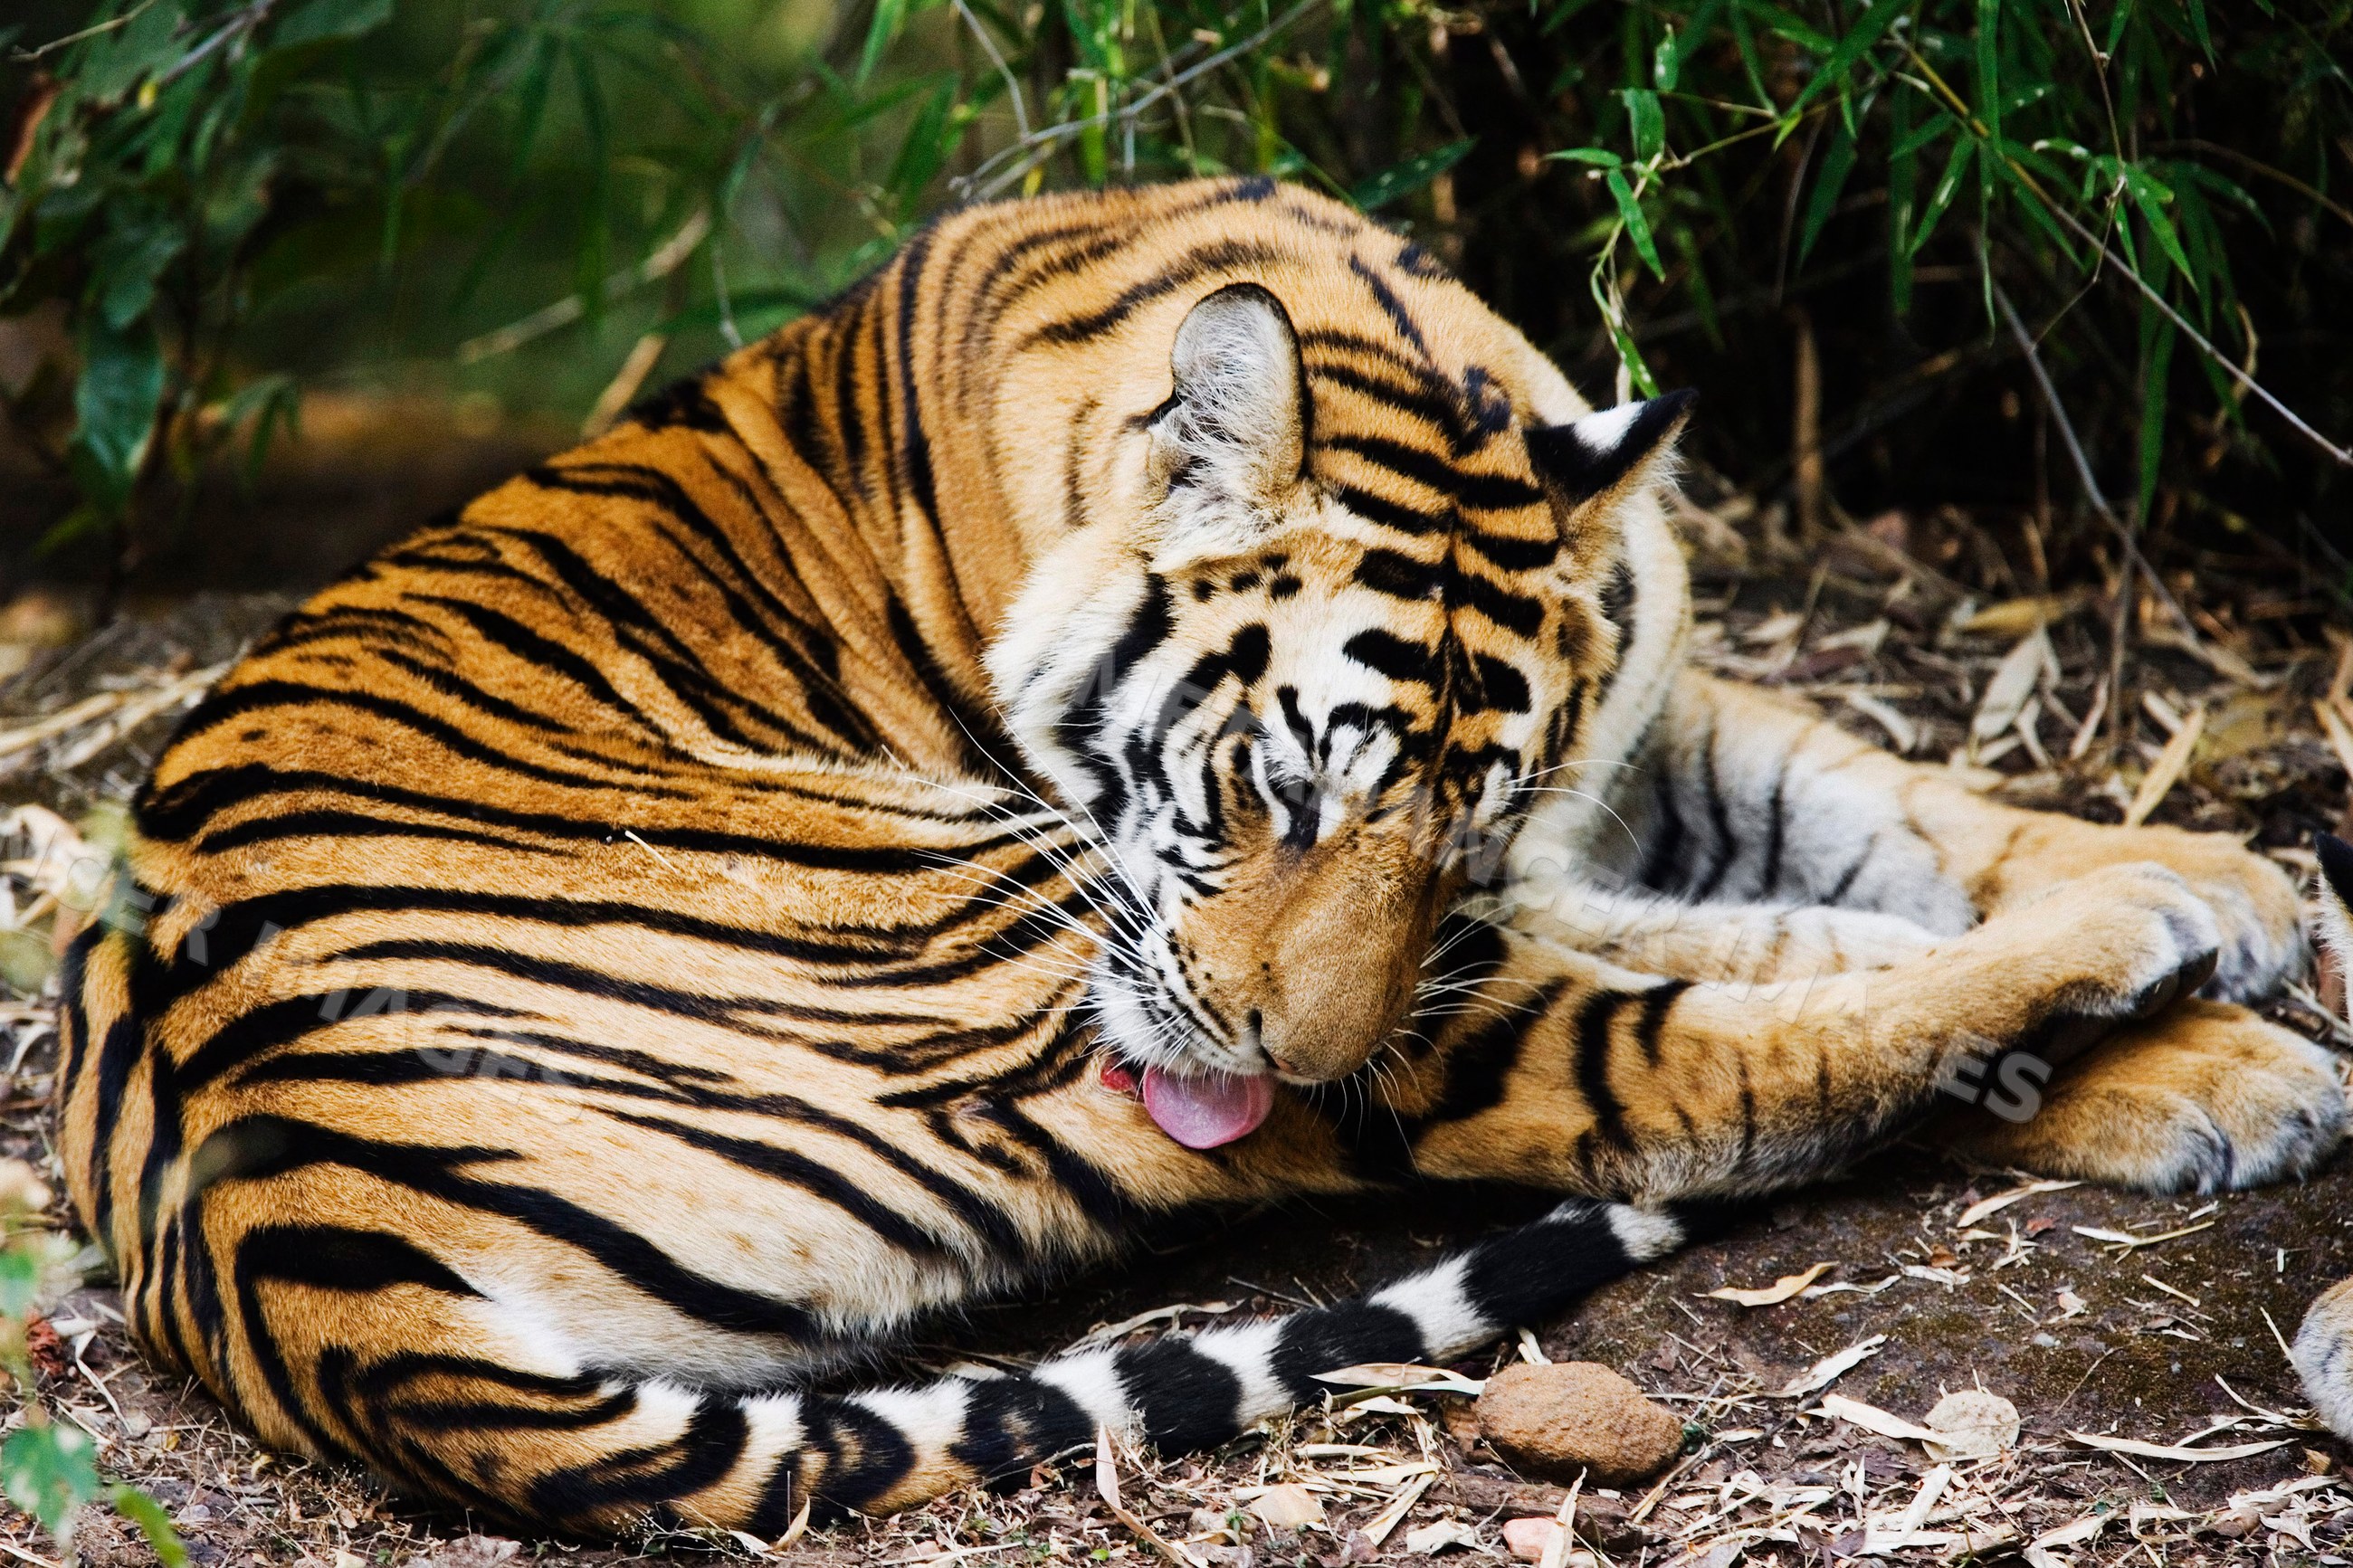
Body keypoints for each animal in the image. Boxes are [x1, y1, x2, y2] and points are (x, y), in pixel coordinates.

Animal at [53, 176, 2345, 1539]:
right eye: (1269, 791)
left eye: (1460, 823)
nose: (1292, 1047)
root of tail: (285, 1248)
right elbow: (1784, 931)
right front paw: (2210, 986)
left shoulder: (1625, 755)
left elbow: (1873, 799)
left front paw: (2231, 887)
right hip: (969, 916)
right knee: (1677, 1071)